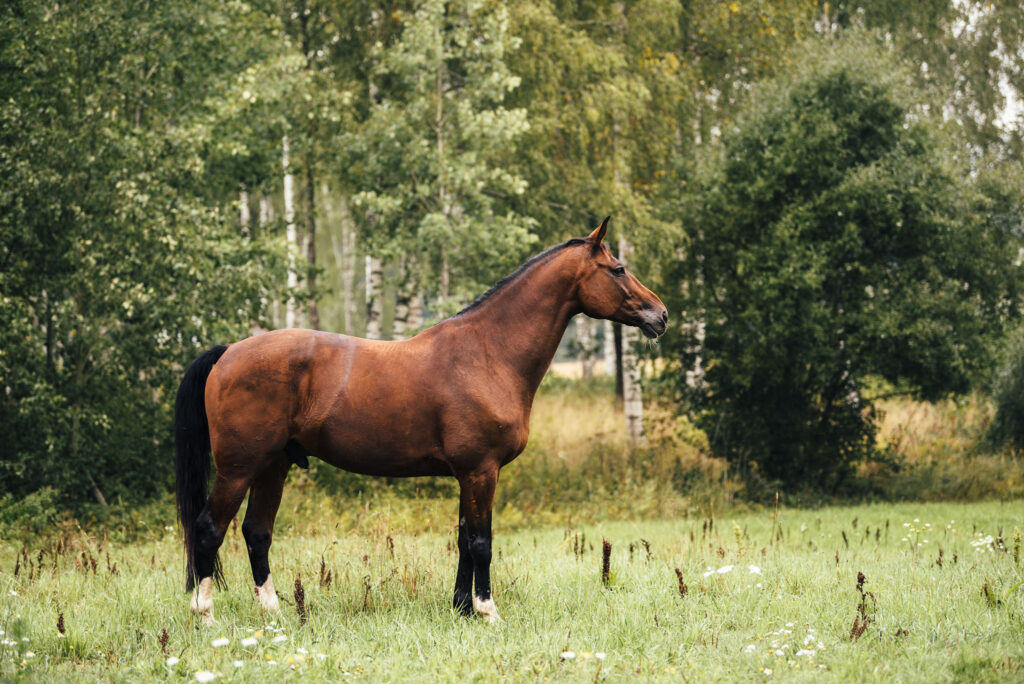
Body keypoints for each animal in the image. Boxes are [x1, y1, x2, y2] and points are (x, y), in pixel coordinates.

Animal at [174, 216, 671, 622]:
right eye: (618, 269)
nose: (661, 315)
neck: (488, 353)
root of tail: (229, 352)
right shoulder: (481, 471)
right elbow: (481, 543)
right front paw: (487, 612)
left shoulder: (468, 474)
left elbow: (464, 541)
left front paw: (462, 608)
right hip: (239, 469)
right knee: (209, 530)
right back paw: (206, 615)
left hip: (273, 466)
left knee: (256, 532)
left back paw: (275, 612)